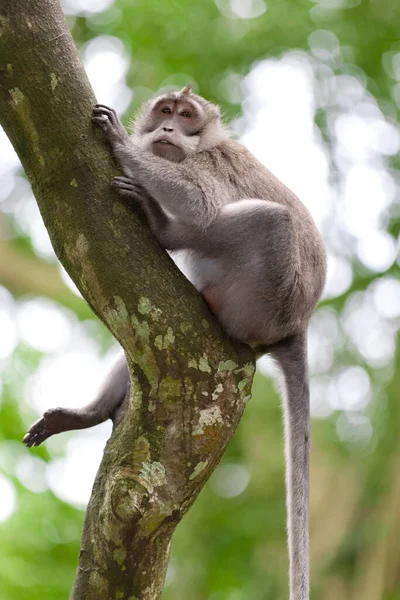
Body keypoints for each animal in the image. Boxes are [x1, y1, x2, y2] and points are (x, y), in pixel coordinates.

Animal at [23, 84, 326, 600]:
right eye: (165, 110)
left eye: (185, 115)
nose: (166, 127)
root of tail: (297, 324)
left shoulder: (215, 162)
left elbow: (202, 200)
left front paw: (122, 144)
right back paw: (91, 414)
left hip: (262, 300)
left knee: (268, 221)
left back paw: (165, 228)